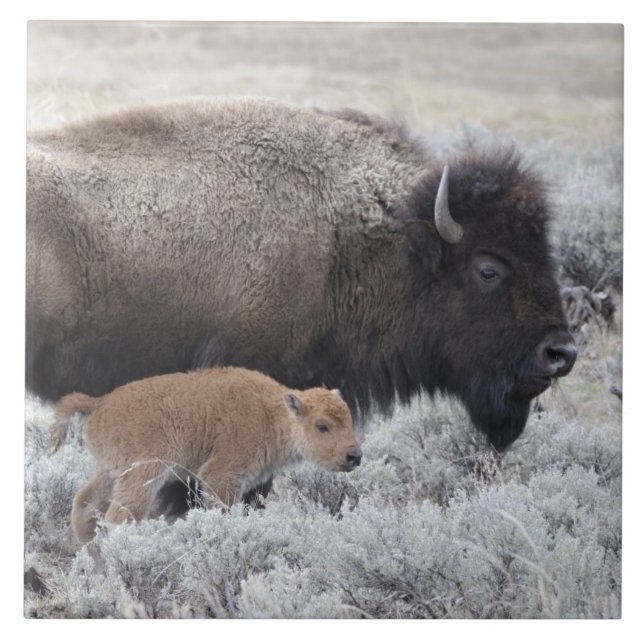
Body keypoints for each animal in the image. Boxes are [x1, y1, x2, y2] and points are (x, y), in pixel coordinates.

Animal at [52, 366, 359, 543]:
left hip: (110, 472)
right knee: (118, 518)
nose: (354, 456)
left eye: (349, 418)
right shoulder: (221, 476)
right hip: (143, 474)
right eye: (322, 426)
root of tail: (100, 402)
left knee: (84, 506)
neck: (272, 414)